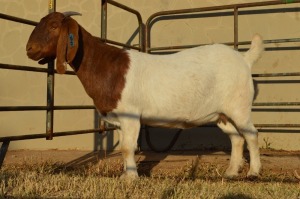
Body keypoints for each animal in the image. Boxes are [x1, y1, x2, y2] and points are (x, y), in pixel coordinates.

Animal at [27, 12, 264, 180]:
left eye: (54, 26)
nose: (29, 49)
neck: (105, 66)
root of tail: (245, 59)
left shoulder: (131, 115)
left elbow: (127, 147)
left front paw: (131, 178)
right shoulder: (120, 120)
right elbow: (124, 147)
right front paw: (126, 175)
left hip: (239, 106)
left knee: (251, 134)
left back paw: (253, 172)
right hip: (221, 114)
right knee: (236, 138)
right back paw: (231, 173)